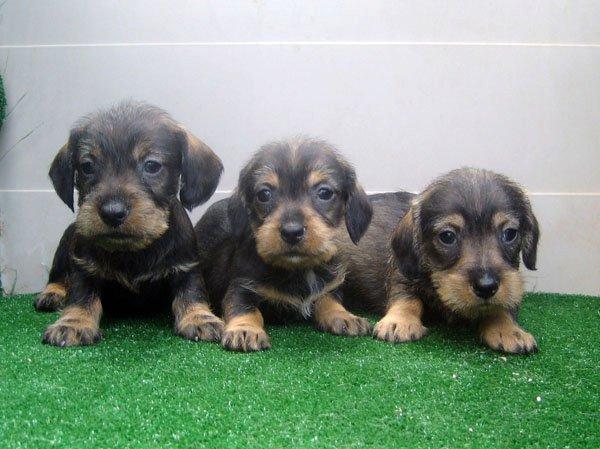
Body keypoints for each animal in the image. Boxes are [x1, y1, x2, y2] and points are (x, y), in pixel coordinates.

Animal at [34, 102, 225, 346]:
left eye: (152, 165)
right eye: (87, 166)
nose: (112, 212)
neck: (133, 251)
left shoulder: (186, 266)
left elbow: (192, 292)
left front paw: (200, 317)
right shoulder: (83, 267)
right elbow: (81, 295)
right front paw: (73, 323)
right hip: (64, 247)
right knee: (57, 276)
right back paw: (52, 294)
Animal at [195, 136, 372, 350]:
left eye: (325, 192)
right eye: (264, 194)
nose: (292, 232)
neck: (298, 270)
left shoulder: (330, 285)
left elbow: (329, 299)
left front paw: (343, 315)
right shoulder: (241, 286)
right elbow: (245, 308)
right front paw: (245, 330)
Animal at [340, 168, 540, 354]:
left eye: (510, 234)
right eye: (447, 236)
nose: (486, 286)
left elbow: (502, 306)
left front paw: (508, 330)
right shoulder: (402, 277)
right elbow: (408, 300)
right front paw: (399, 321)